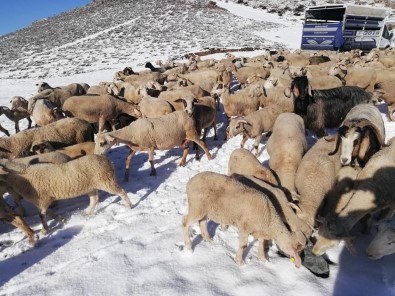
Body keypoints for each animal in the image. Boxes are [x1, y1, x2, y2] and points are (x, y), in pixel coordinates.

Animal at [0, 156, 131, 235]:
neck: (21, 175)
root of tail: (106, 160)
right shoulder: (43, 201)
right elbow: (49, 213)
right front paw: (61, 219)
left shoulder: (42, 200)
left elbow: (42, 216)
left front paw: (44, 230)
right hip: (91, 186)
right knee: (95, 199)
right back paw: (87, 212)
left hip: (106, 181)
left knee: (122, 192)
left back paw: (129, 206)